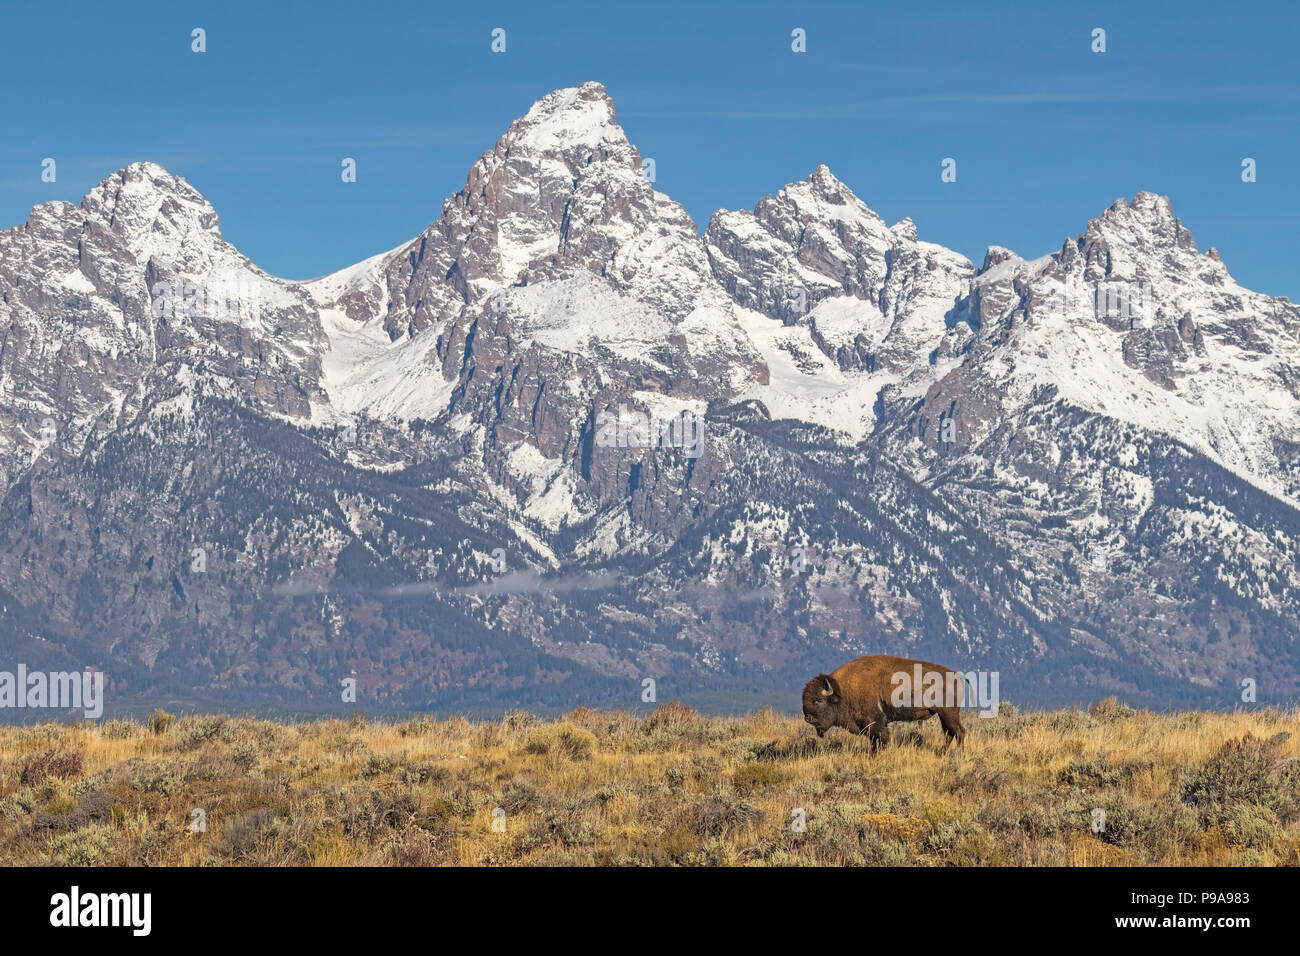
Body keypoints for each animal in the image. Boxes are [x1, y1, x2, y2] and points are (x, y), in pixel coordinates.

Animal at [800, 655, 967, 749]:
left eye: (818, 700)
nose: (808, 718)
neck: (842, 690)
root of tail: (957, 675)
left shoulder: (874, 723)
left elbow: (880, 740)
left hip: (949, 713)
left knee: (959, 732)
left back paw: (958, 756)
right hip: (942, 714)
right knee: (949, 734)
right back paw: (942, 753)